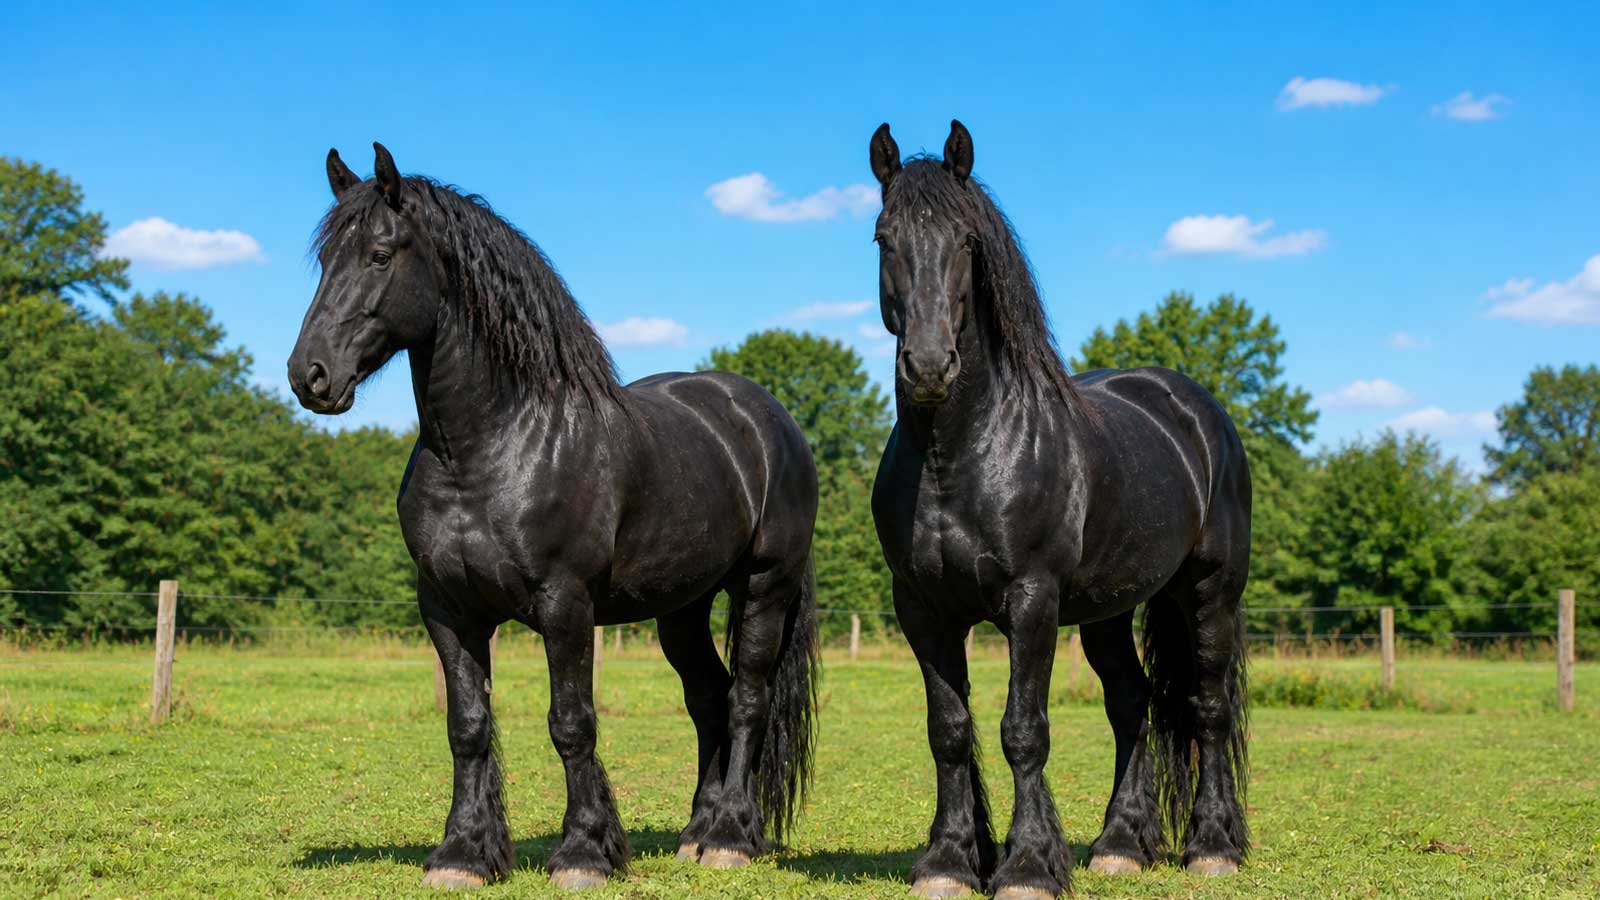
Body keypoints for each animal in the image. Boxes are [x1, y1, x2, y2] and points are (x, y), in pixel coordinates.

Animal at [287, 143, 820, 890]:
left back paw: (730, 838)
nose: (309, 376)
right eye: (324, 261)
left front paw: (585, 852)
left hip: (763, 586)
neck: (491, 447)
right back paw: (694, 832)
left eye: (381, 255)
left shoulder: (564, 605)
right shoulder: (446, 609)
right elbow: (467, 726)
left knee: (747, 698)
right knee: (709, 698)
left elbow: (572, 723)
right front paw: (463, 853)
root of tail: (768, 419)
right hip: (681, 609)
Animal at [866, 121, 1252, 899]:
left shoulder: (1032, 600)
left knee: (1208, 706)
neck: (961, 455)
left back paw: (1212, 846)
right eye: (883, 238)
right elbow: (948, 729)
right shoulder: (921, 607)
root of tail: (1197, 412)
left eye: (967, 243)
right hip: (1108, 611)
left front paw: (1028, 865)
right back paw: (1120, 845)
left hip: (1210, 591)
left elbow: (1024, 730)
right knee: (1133, 704)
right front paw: (949, 860)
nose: (929, 366)